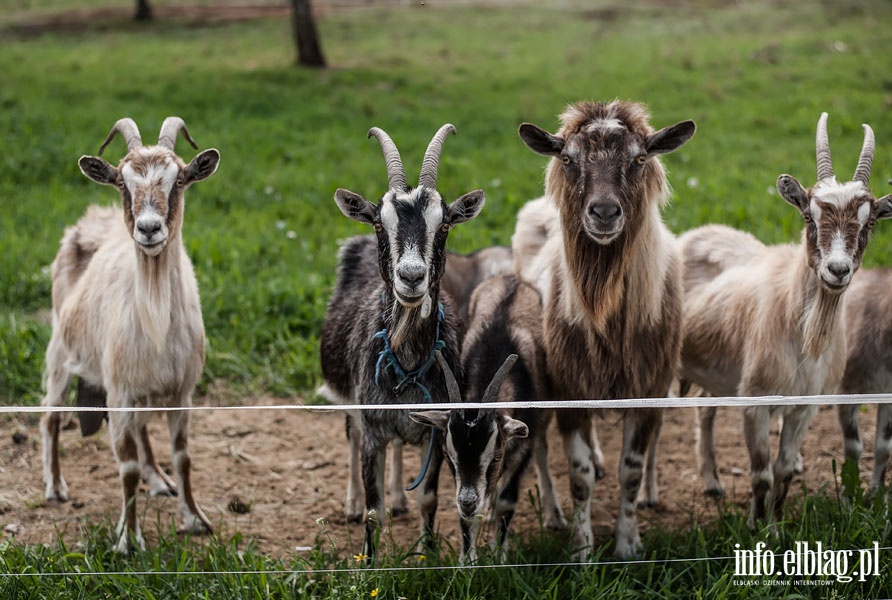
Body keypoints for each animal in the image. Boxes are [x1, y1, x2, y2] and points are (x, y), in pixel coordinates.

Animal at [318, 124, 488, 560]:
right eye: (380, 224)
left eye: (444, 226)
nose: (411, 276)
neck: (408, 360)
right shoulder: (373, 427)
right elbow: (373, 511)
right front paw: (370, 562)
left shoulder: (437, 430)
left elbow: (429, 499)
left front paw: (427, 553)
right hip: (350, 401)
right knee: (350, 433)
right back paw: (351, 503)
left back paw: (398, 497)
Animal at [412, 274, 556, 560]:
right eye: (449, 457)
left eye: (496, 456)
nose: (468, 502)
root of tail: (511, 278)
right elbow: (468, 520)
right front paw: (468, 562)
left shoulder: (523, 444)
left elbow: (507, 502)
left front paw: (499, 556)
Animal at [508, 99, 696, 556]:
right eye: (568, 159)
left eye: (639, 159)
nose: (605, 212)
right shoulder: (569, 391)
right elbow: (578, 477)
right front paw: (582, 549)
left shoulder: (647, 390)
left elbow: (631, 470)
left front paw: (628, 544)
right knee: (542, 447)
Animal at [680, 112, 888, 524]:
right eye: (809, 215)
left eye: (869, 222)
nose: (838, 270)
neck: (801, 332)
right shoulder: (755, 402)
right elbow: (761, 472)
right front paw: (754, 526)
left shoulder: (803, 408)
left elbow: (784, 469)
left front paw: (775, 527)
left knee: (704, 408)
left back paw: (711, 482)